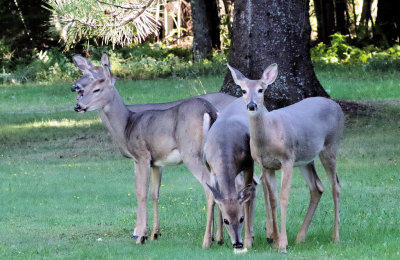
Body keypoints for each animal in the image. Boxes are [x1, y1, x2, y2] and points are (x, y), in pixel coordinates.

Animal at [70, 53, 238, 248]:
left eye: (96, 88)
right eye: (86, 88)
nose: (77, 105)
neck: (126, 125)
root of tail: (210, 111)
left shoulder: (141, 156)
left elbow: (140, 192)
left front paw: (140, 235)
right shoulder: (157, 162)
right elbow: (154, 193)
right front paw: (154, 233)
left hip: (190, 152)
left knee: (209, 184)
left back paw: (206, 240)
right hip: (212, 154)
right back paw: (219, 237)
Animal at [228, 63, 344, 252]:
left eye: (261, 89)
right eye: (243, 90)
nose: (251, 105)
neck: (268, 137)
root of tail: (337, 106)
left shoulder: (287, 159)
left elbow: (284, 198)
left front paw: (283, 243)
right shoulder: (266, 165)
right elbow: (273, 199)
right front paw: (275, 241)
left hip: (330, 146)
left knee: (336, 186)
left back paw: (335, 237)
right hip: (306, 159)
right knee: (317, 187)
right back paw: (300, 237)